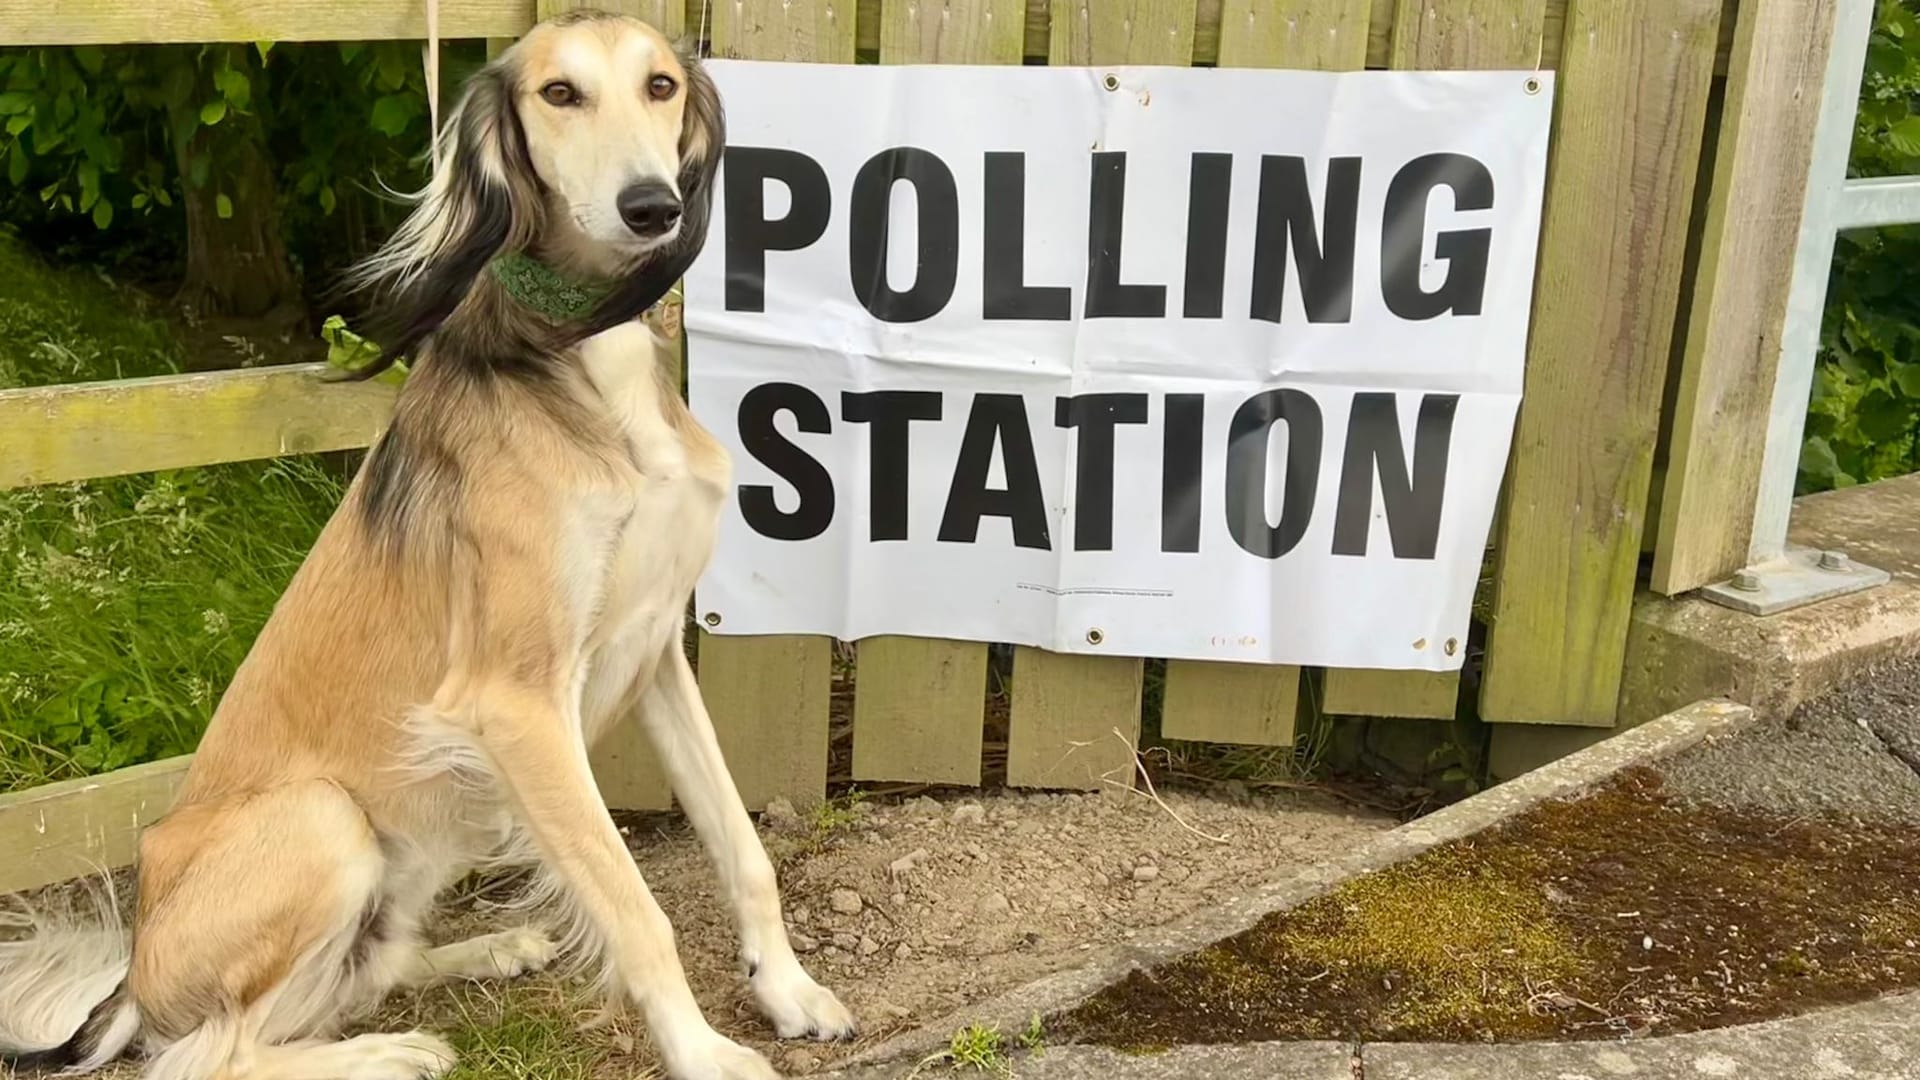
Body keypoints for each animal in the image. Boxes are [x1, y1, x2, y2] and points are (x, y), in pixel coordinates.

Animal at [0, 10, 856, 1076]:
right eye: (560, 94)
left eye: (660, 85)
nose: (652, 208)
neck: (578, 356)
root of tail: (134, 976)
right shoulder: (518, 705)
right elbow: (635, 907)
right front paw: (703, 1053)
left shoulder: (656, 650)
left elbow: (742, 845)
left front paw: (785, 989)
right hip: (326, 820)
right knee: (208, 1054)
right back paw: (385, 1053)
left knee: (357, 976)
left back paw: (489, 953)